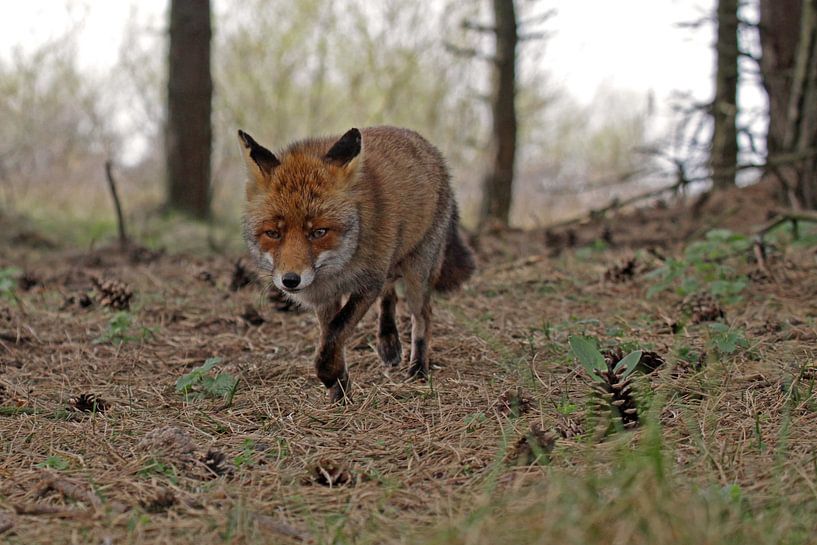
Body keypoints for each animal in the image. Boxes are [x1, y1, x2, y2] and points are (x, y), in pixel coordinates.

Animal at [236, 126, 474, 400]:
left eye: (319, 232)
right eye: (273, 233)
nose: (290, 280)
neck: (340, 266)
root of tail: (424, 143)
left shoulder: (367, 283)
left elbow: (337, 331)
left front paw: (330, 375)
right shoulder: (326, 297)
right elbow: (330, 337)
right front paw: (340, 390)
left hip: (417, 274)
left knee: (422, 315)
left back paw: (418, 369)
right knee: (389, 294)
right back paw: (388, 341)